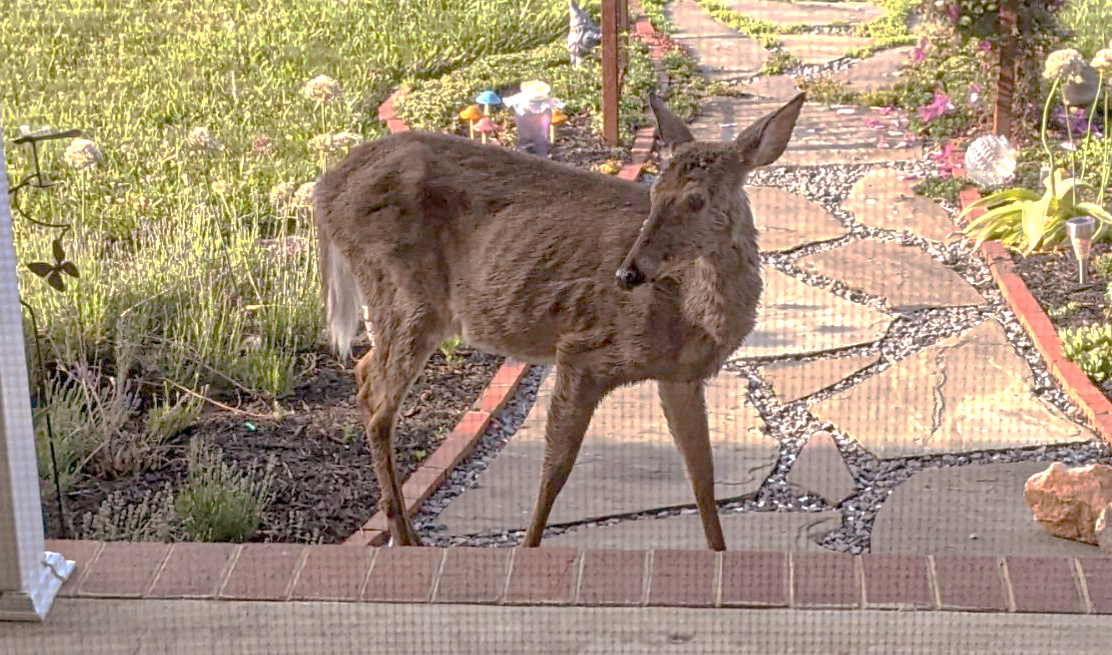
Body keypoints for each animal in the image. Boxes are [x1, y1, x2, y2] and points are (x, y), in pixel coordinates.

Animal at [313, 91, 806, 550]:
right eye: (653, 195)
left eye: (697, 199)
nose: (628, 274)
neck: (690, 314)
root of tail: (322, 190)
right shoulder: (583, 350)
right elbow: (556, 468)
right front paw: (527, 548)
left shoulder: (679, 377)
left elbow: (702, 475)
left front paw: (719, 553)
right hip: (405, 293)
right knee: (379, 400)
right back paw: (406, 537)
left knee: (364, 373)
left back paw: (403, 530)